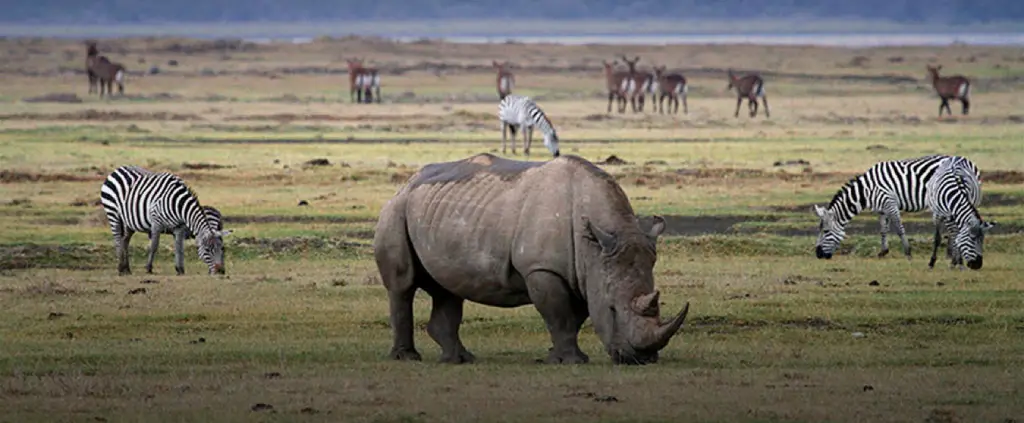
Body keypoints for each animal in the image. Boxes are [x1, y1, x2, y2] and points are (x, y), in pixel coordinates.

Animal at [98, 162, 230, 274]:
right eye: (207, 250)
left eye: (222, 249)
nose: (220, 271)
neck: (178, 205)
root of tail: (118, 169)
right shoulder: (156, 223)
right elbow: (154, 246)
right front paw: (149, 268)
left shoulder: (179, 227)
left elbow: (179, 248)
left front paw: (180, 269)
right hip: (112, 212)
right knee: (117, 239)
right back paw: (121, 268)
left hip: (128, 220)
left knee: (125, 240)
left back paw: (127, 269)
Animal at [811, 153, 978, 259]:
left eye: (825, 231)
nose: (818, 254)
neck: (867, 190)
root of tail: (966, 161)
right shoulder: (882, 209)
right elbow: (883, 230)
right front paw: (883, 251)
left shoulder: (890, 203)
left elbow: (899, 228)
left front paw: (908, 251)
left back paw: (951, 254)